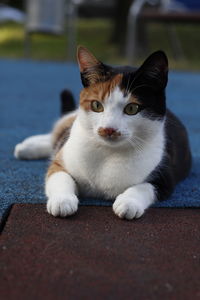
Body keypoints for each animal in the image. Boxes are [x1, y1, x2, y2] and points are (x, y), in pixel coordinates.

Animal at [14, 45, 191, 219]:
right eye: (96, 105)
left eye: (132, 108)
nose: (108, 129)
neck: (108, 152)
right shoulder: (59, 164)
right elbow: (60, 177)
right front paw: (62, 201)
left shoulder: (165, 178)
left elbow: (144, 187)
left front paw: (128, 202)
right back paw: (26, 147)